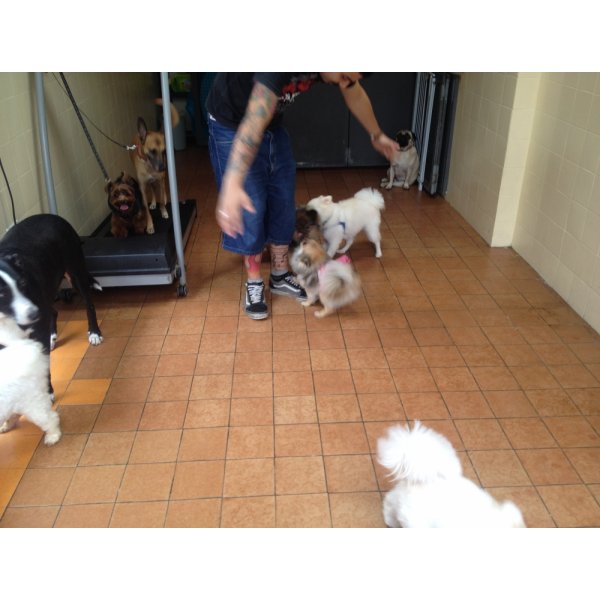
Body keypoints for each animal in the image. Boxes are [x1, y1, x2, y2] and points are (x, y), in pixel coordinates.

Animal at [0, 213, 102, 442]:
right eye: (1, 293)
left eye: (21, 283)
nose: (33, 314)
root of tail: (51, 215)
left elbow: (44, 368)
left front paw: (47, 392)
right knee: (53, 312)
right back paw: (53, 336)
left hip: (75, 273)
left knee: (88, 304)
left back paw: (94, 333)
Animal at [130, 99, 179, 233]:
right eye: (152, 151)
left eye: (164, 151)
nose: (162, 168)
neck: (149, 165)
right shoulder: (142, 187)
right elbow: (146, 210)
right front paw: (150, 225)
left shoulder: (160, 180)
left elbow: (161, 199)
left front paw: (164, 211)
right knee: (152, 189)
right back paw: (152, 202)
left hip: (161, 179)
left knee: (162, 189)